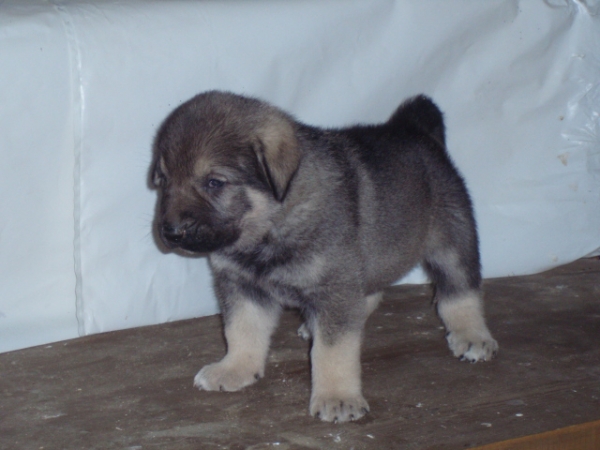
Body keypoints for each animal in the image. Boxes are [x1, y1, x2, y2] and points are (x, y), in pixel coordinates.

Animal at [150, 91, 496, 422]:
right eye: (164, 180)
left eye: (214, 182)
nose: (170, 233)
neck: (268, 228)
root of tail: (413, 128)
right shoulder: (242, 287)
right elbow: (241, 330)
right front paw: (235, 368)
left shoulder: (333, 287)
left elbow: (333, 351)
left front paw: (337, 398)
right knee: (370, 294)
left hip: (451, 243)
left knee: (460, 293)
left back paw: (472, 335)